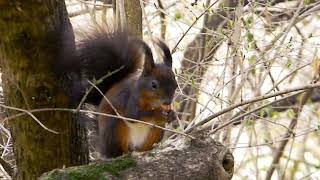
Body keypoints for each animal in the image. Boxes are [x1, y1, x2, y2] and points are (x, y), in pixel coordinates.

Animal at [56, 29, 179, 158]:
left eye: (176, 85)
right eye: (154, 85)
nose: (168, 102)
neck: (151, 102)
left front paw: (172, 115)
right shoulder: (130, 98)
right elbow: (134, 115)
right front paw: (158, 113)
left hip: (156, 132)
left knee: (143, 147)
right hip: (114, 128)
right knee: (117, 151)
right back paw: (123, 153)